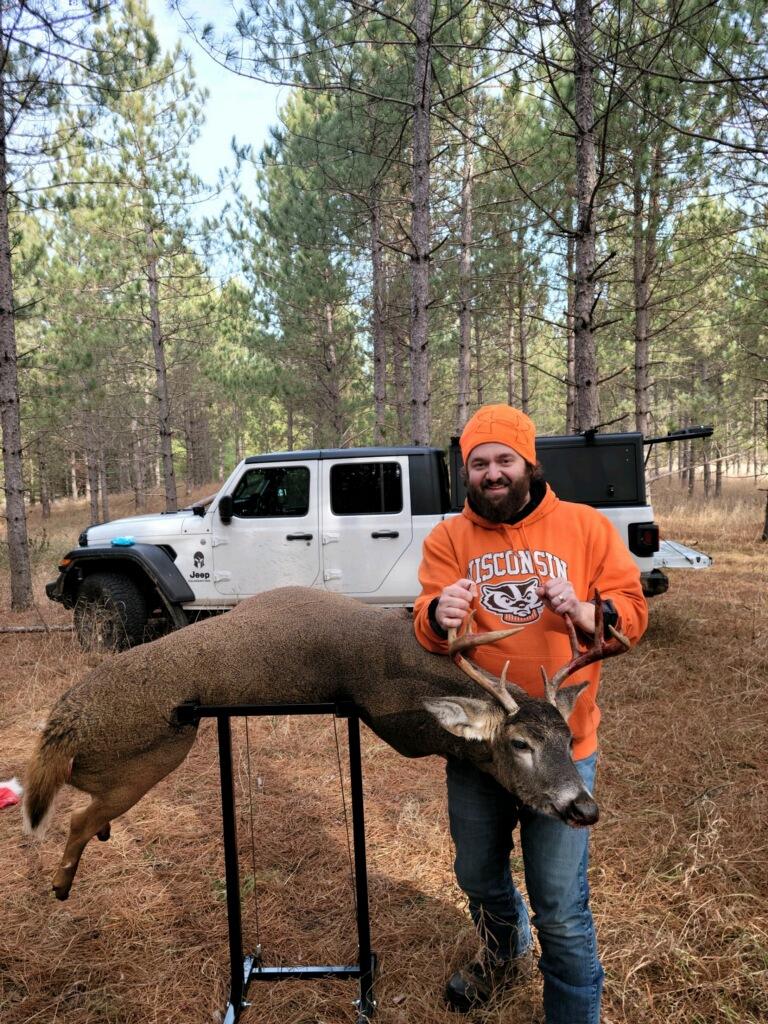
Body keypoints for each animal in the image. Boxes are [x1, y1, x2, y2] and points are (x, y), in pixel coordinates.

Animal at [23, 585, 630, 901]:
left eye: (568, 736)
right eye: (521, 744)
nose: (584, 807)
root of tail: (62, 725)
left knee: (83, 812)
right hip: (151, 756)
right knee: (74, 817)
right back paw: (61, 883)